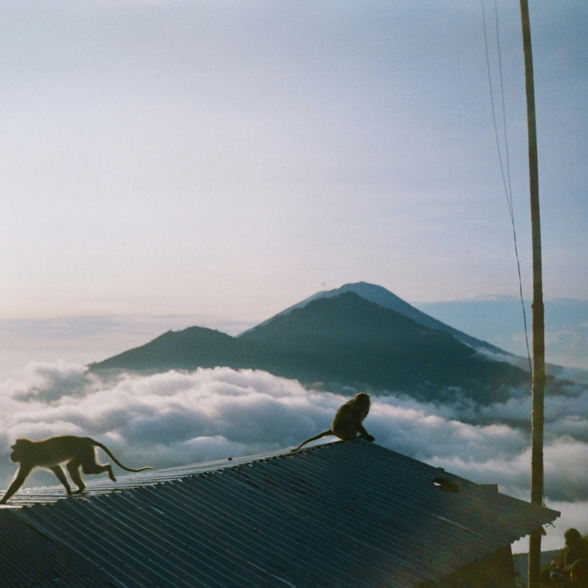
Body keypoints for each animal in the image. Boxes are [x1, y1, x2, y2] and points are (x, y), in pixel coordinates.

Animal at [0, 434, 152, 504]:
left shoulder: (28, 460)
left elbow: (19, 480)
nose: (11, 456)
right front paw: (67, 488)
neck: (29, 448)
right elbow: (57, 468)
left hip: (86, 451)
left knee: (88, 469)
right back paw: (80, 488)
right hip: (83, 452)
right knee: (72, 466)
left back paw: (108, 469)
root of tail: (84, 438)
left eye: (14, 449)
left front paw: (3, 500)